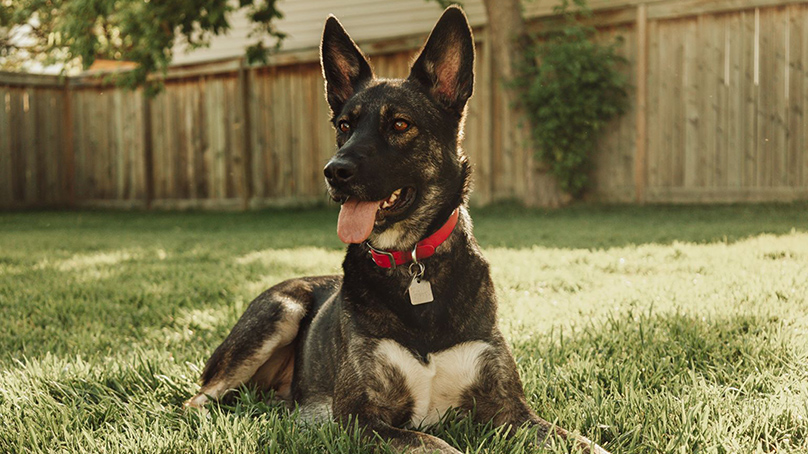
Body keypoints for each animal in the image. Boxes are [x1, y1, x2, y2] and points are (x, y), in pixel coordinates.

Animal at [186, 7, 608, 454]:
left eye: (401, 124)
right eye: (344, 126)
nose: (334, 171)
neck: (412, 262)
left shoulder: (512, 411)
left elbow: (582, 442)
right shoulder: (360, 418)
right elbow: (436, 444)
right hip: (280, 311)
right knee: (197, 399)